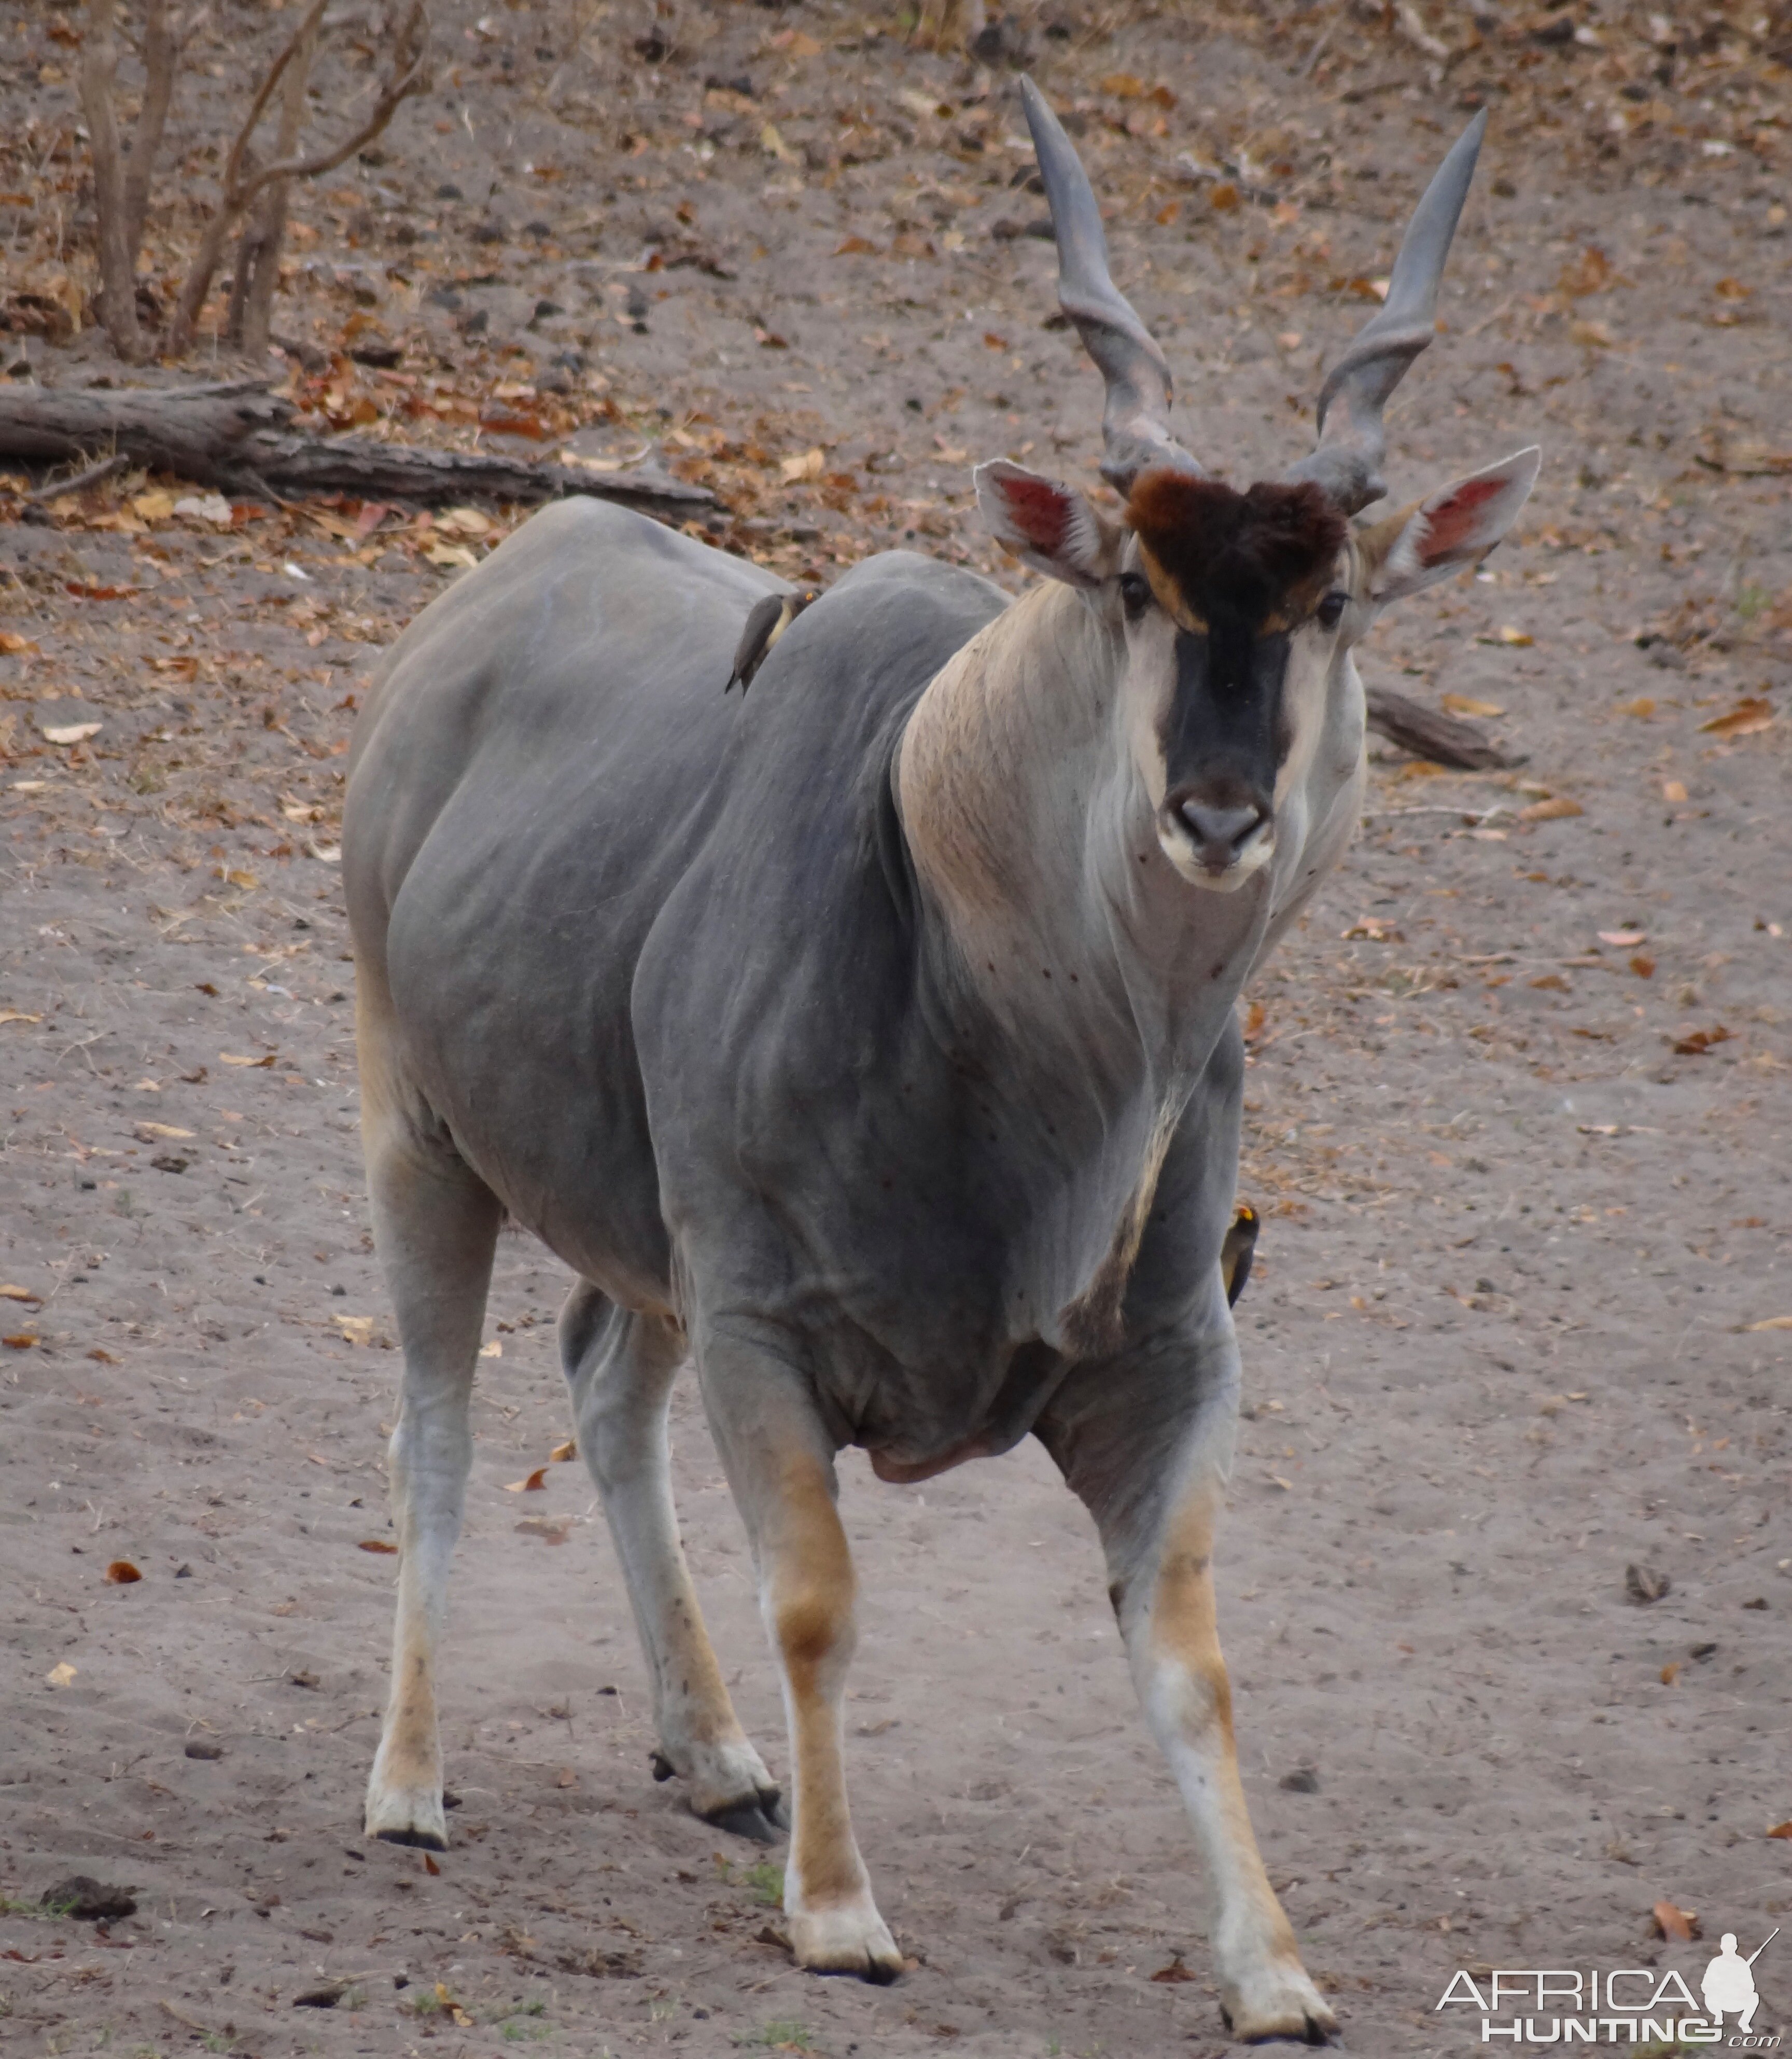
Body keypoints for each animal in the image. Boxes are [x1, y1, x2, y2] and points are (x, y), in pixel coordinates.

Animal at [347, 80, 1538, 2042]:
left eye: (1331, 605)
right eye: (1134, 586)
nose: (1220, 807)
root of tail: (476, 608)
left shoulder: (1164, 1364)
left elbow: (1192, 1660)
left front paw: (1272, 1968)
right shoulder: (762, 1326)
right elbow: (821, 1604)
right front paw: (839, 1913)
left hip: (638, 1246)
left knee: (600, 1379)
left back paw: (714, 1755)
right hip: (420, 1136)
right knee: (435, 1429)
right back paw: (408, 1783)